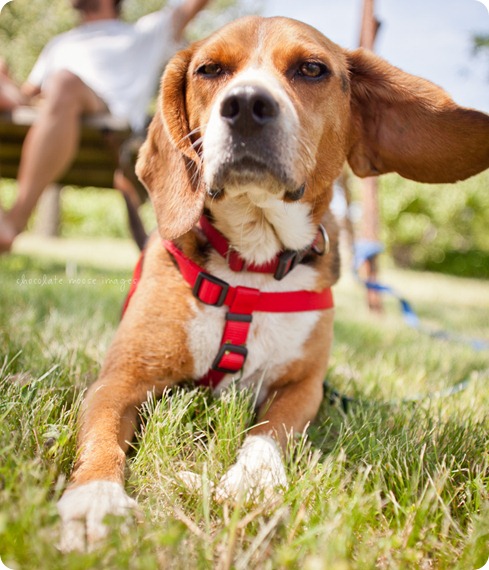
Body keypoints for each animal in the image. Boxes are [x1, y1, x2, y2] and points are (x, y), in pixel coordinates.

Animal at [59, 15, 488, 548]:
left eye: (312, 69)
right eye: (209, 69)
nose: (245, 104)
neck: (253, 265)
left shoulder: (304, 388)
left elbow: (268, 432)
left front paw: (252, 481)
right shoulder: (120, 381)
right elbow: (101, 442)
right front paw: (95, 499)